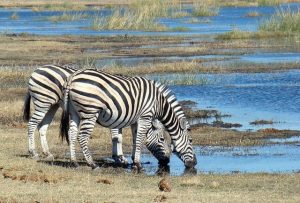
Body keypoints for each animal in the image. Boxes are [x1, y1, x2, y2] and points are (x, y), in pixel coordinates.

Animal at [23, 65, 169, 167]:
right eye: (162, 139)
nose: (167, 161)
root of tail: (37, 70)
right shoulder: (117, 115)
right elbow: (117, 138)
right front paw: (120, 158)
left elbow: (120, 137)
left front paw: (121, 157)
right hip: (43, 102)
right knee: (32, 124)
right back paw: (33, 152)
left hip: (51, 105)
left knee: (42, 127)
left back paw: (48, 153)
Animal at [59, 69, 198, 170]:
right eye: (162, 139)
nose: (195, 163)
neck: (159, 103)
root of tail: (72, 77)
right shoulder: (145, 116)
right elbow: (140, 139)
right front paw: (137, 164)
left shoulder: (136, 120)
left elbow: (135, 139)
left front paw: (133, 161)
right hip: (90, 111)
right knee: (82, 136)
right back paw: (92, 164)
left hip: (74, 112)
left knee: (72, 134)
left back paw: (74, 162)